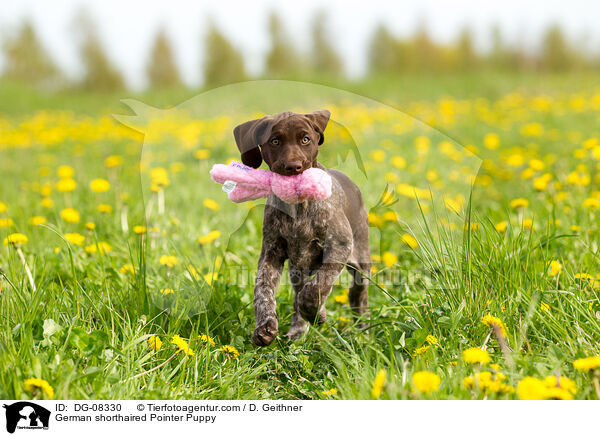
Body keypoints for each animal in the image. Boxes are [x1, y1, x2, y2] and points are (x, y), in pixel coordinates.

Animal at [234, 110, 370, 346]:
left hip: (360, 259)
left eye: (305, 139)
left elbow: (317, 287)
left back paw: (361, 325)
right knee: (299, 294)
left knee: (357, 292)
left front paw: (316, 313)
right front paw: (265, 325)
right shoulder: (271, 253)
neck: (298, 206)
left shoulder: (339, 246)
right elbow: (263, 290)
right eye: (275, 141)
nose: (293, 166)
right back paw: (297, 332)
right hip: (298, 269)